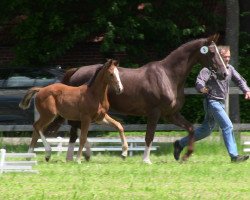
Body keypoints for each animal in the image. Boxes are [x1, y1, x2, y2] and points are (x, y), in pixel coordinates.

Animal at [45, 33, 229, 163]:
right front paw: (146, 159)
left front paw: (183, 155)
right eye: (212, 52)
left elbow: (191, 129)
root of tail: (76, 71)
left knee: (75, 131)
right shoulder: (154, 113)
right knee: (74, 131)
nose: (224, 73)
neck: (168, 76)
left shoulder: (171, 114)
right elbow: (149, 136)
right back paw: (72, 157)